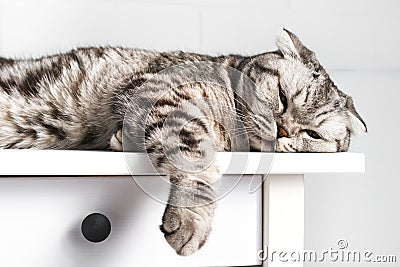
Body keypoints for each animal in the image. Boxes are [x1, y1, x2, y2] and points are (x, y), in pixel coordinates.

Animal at [0, 29, 366, 258]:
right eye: (282, 96)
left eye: (313, 135)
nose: (283, 131)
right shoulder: (164, 95)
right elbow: (196, 157)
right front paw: (191, 218)